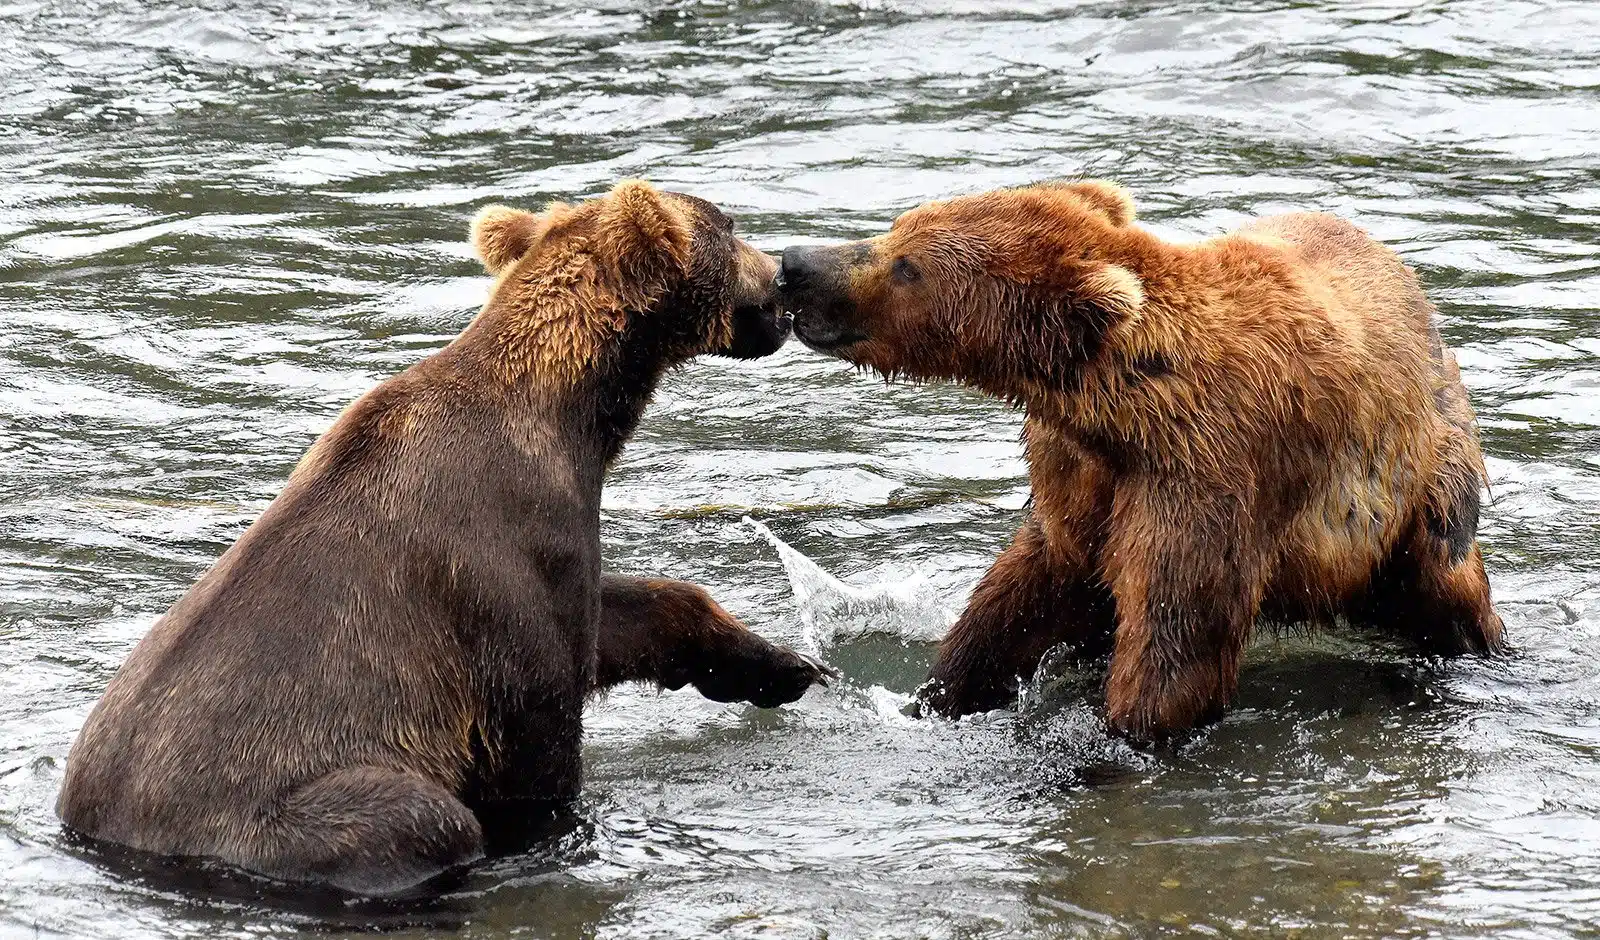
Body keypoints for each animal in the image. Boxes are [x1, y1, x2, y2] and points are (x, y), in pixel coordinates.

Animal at [56, 180, 831, 895]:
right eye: (727, 226)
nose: (781, 275)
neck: (572, 423)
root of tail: (106, 845)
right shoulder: (496, 571)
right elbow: (537, 731)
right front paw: (557, 826)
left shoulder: (552, 560)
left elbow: (623, 616)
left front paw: (780, 666)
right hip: (280, 804)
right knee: (421, 819)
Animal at [776, 179, 1502, 741]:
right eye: (901, 225)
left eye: (909, 266)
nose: (795, 264)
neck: (1126, 411)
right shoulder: (1081, 472)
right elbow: (1034, 588)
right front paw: (939, 692)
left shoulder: (1206, 472)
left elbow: (1174, 641)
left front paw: (1113, 738)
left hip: (1420, 482)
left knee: (1447, 585)